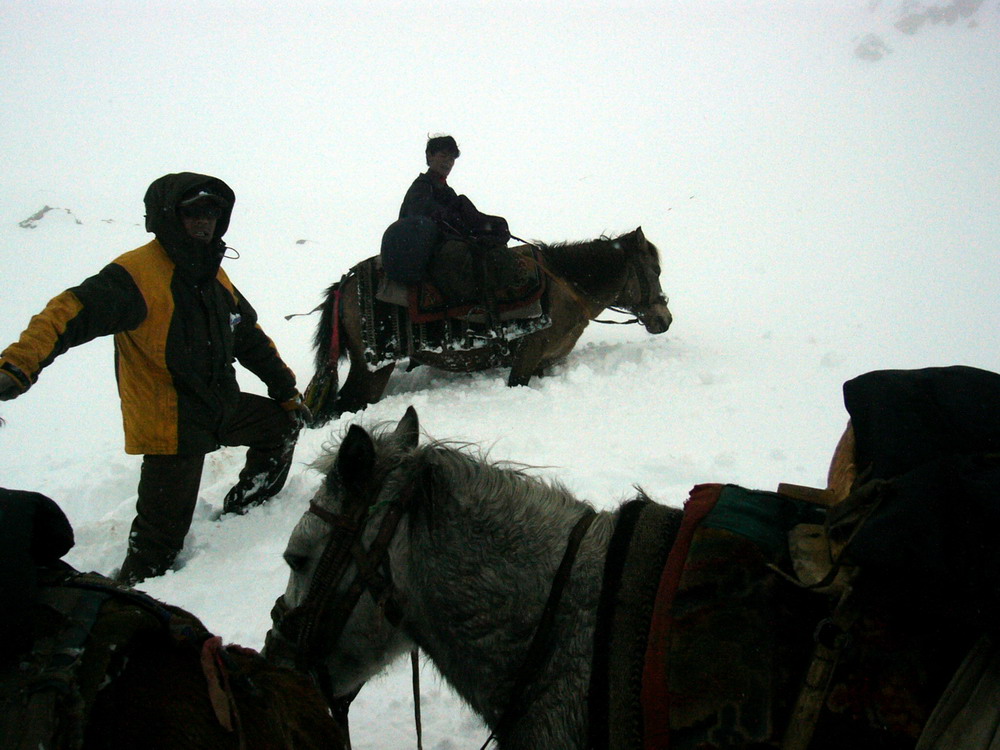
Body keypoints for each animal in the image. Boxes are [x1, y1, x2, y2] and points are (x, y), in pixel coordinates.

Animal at [302, 226, 672, 426]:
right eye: (654, 270)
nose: (664, 320)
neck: (564, 287)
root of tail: (346, 283)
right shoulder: (526, 357)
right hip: (372, 370)